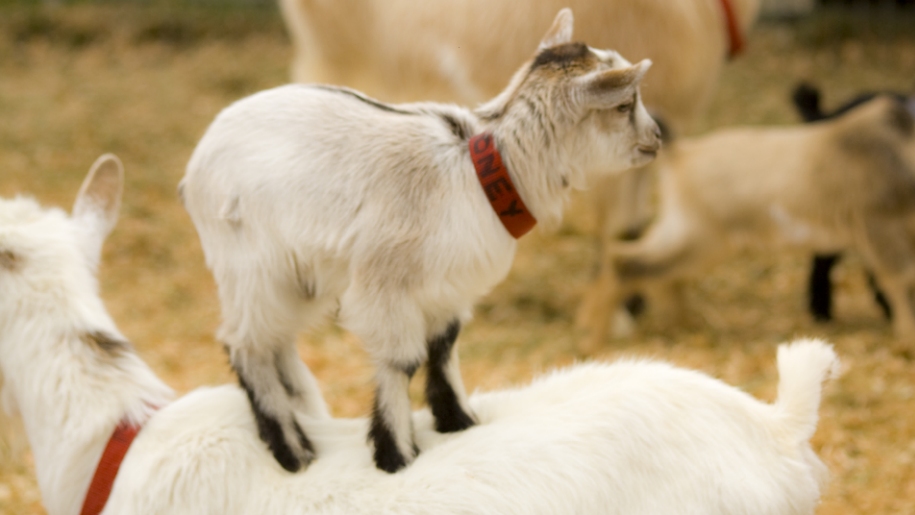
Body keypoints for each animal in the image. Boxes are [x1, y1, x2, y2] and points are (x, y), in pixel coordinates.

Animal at [181, 9, 664, 476]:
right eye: (624, 104)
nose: (658, 138)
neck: (481, 172)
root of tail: (194, 168)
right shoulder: (385, 285)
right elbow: (402, 361)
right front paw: (396, 455)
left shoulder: (448, 287)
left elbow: (443, 347)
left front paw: (460, 422)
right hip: (250, 266)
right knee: (246, 345)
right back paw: (292, 451)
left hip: (296, 275)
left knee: (275, 339)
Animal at [580, 92, 915, 350]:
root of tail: (682, 152)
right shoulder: (881, 226)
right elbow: (902, 282)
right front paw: (908, 341)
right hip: (699, 239)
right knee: (630, 265)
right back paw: (596, 341)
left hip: (683, 232)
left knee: (645, 268)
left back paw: (682, 325)